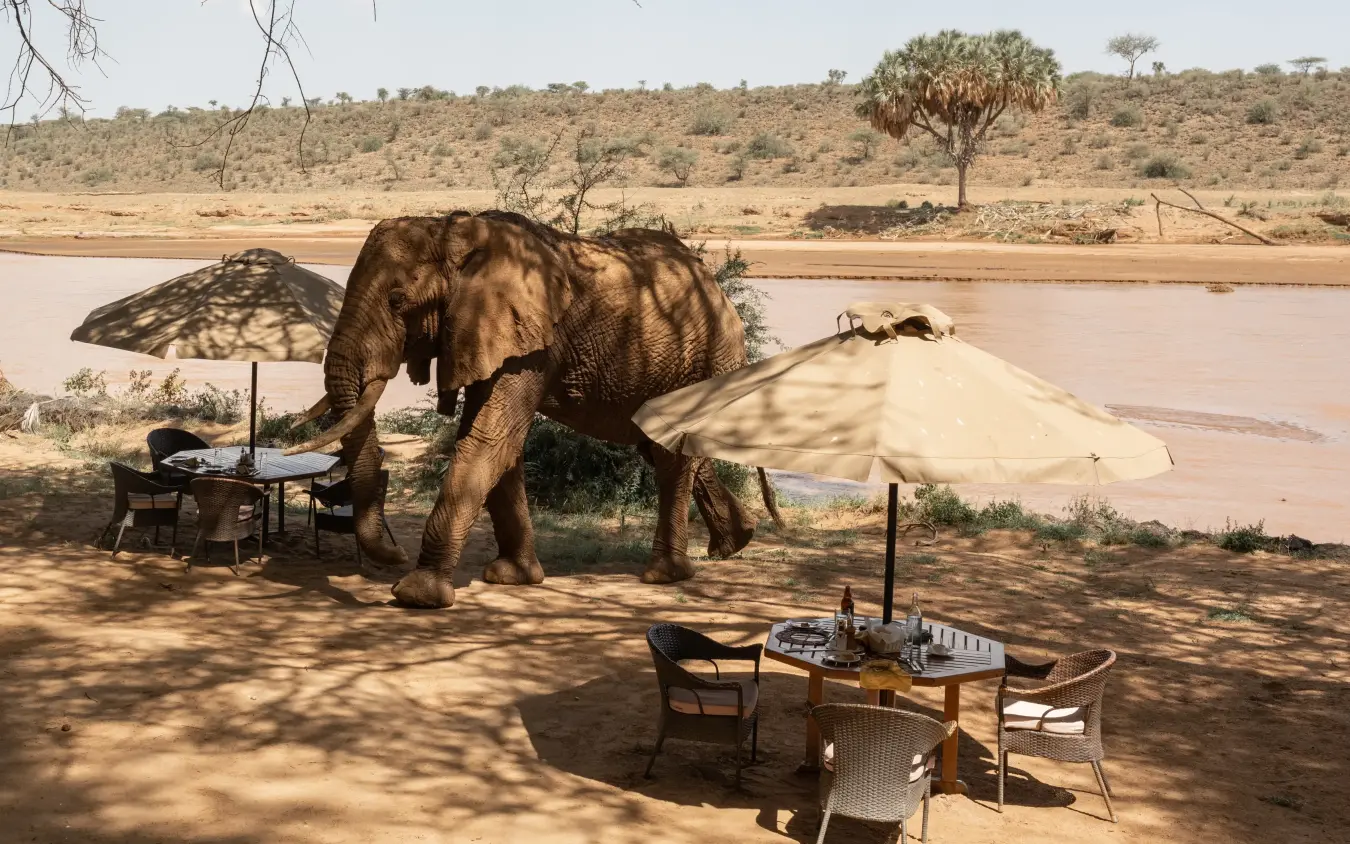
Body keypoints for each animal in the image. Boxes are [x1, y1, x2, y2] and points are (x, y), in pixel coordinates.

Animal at [287, 210, 776, 609]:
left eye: (397, 301)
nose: (395, 554)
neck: (456, 230)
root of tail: (717, 287)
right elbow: (500, 444)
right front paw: (513, 578)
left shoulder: (530, 340)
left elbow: (489, 438)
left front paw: (417, 594)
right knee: (662, 450)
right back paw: (735, 542)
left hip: (697, 362)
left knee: (671, 458)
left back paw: (664, 575)